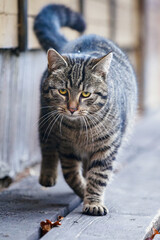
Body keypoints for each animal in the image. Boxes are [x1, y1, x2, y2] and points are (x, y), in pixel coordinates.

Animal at [34, 3, 138, 216]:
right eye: (63, 91)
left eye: (86, 94)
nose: (72, 108)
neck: (80, 130)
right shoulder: (66, 147)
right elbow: (70, 174)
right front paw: (83, 191)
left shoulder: (107, 147)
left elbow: (98, 176)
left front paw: (93, 201)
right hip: (45, 120)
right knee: (47, 147)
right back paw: (48, 174)